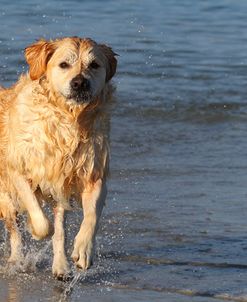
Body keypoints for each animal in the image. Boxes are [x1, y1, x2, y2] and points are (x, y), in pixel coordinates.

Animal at [0, 36, 117, 280]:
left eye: (94, 65)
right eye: (64, 64)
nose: (80, 83)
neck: (68, 119)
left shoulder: (93, 172)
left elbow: (91, 216)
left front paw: (83, 251)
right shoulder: (18, 169)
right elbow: (40, 220)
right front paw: (35, 230)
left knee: (60, 227)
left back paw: (61, 267)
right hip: (6, 193)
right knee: (14, 227)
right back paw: (16, 258)